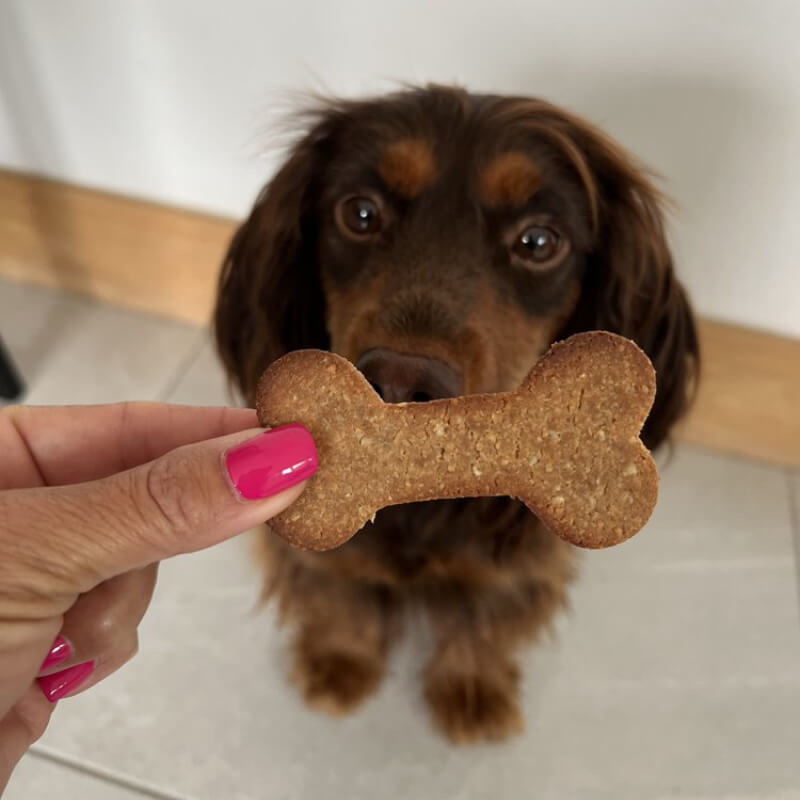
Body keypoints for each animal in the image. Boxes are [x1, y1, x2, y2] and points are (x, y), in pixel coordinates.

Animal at [216, 83, 696, 744]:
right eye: (359, 213)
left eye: (539, 242)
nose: (397, 381)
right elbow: (340, 589)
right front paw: (340, 662)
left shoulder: (518, 561)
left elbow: (484, 616)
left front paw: (471, 689)